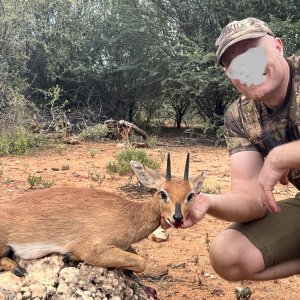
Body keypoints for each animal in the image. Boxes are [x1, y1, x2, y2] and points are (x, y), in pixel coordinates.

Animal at [0, 155, 206, 276]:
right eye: (163, 193)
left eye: (190, 195)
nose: (177, 218)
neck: (129, 214)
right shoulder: (92, 249)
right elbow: (141, 262)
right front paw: (70, 257)